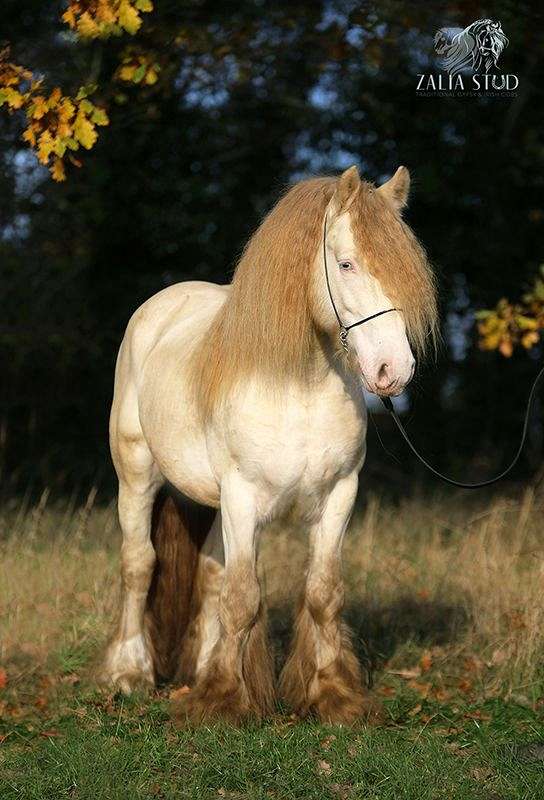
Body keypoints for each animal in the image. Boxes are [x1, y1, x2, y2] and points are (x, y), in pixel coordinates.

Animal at [99, 164, 438, 724]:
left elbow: (321, 593)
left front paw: (331, 694)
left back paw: (203, 667)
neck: (299, 388)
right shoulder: (243, 497)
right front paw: (225, 701)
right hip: (138, 477)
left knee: (210, 575)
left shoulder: (338, 496)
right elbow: (242, 597)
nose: (394, 370)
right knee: (138, 563)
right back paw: (128, 673)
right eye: (346, 263)